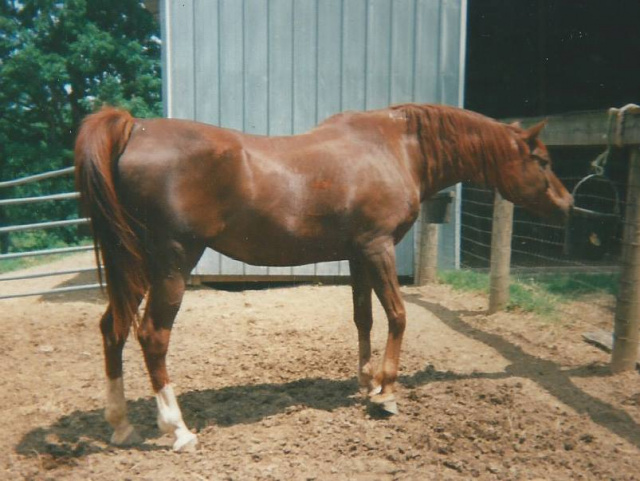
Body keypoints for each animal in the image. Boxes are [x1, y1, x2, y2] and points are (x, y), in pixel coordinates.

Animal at [75, 102, 576, 450]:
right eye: (542, 161)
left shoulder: (358, 254)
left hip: (134, 267)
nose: (568, 203)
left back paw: (120, 424)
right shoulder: (378, 247)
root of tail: (133, 128)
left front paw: (366, 380)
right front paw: (387, 392)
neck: (396, 147)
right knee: (152, 335)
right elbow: (397, 315)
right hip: (173, 264)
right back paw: (178, 429)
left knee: (113, 328)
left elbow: (363, 317)